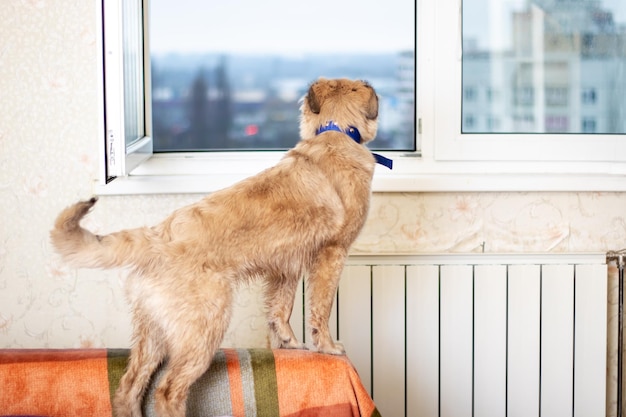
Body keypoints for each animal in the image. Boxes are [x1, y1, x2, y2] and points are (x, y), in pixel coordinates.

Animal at [51, 77, 388, 412]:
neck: (337, 131)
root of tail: (157, 237)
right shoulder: (331, 254)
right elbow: (321, 308)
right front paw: (327, 347)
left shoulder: (285, 268)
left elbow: (281, 310)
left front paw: (289, 344)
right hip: (203, 328)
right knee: (167, 390)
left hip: (154, 333)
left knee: (129, 388)